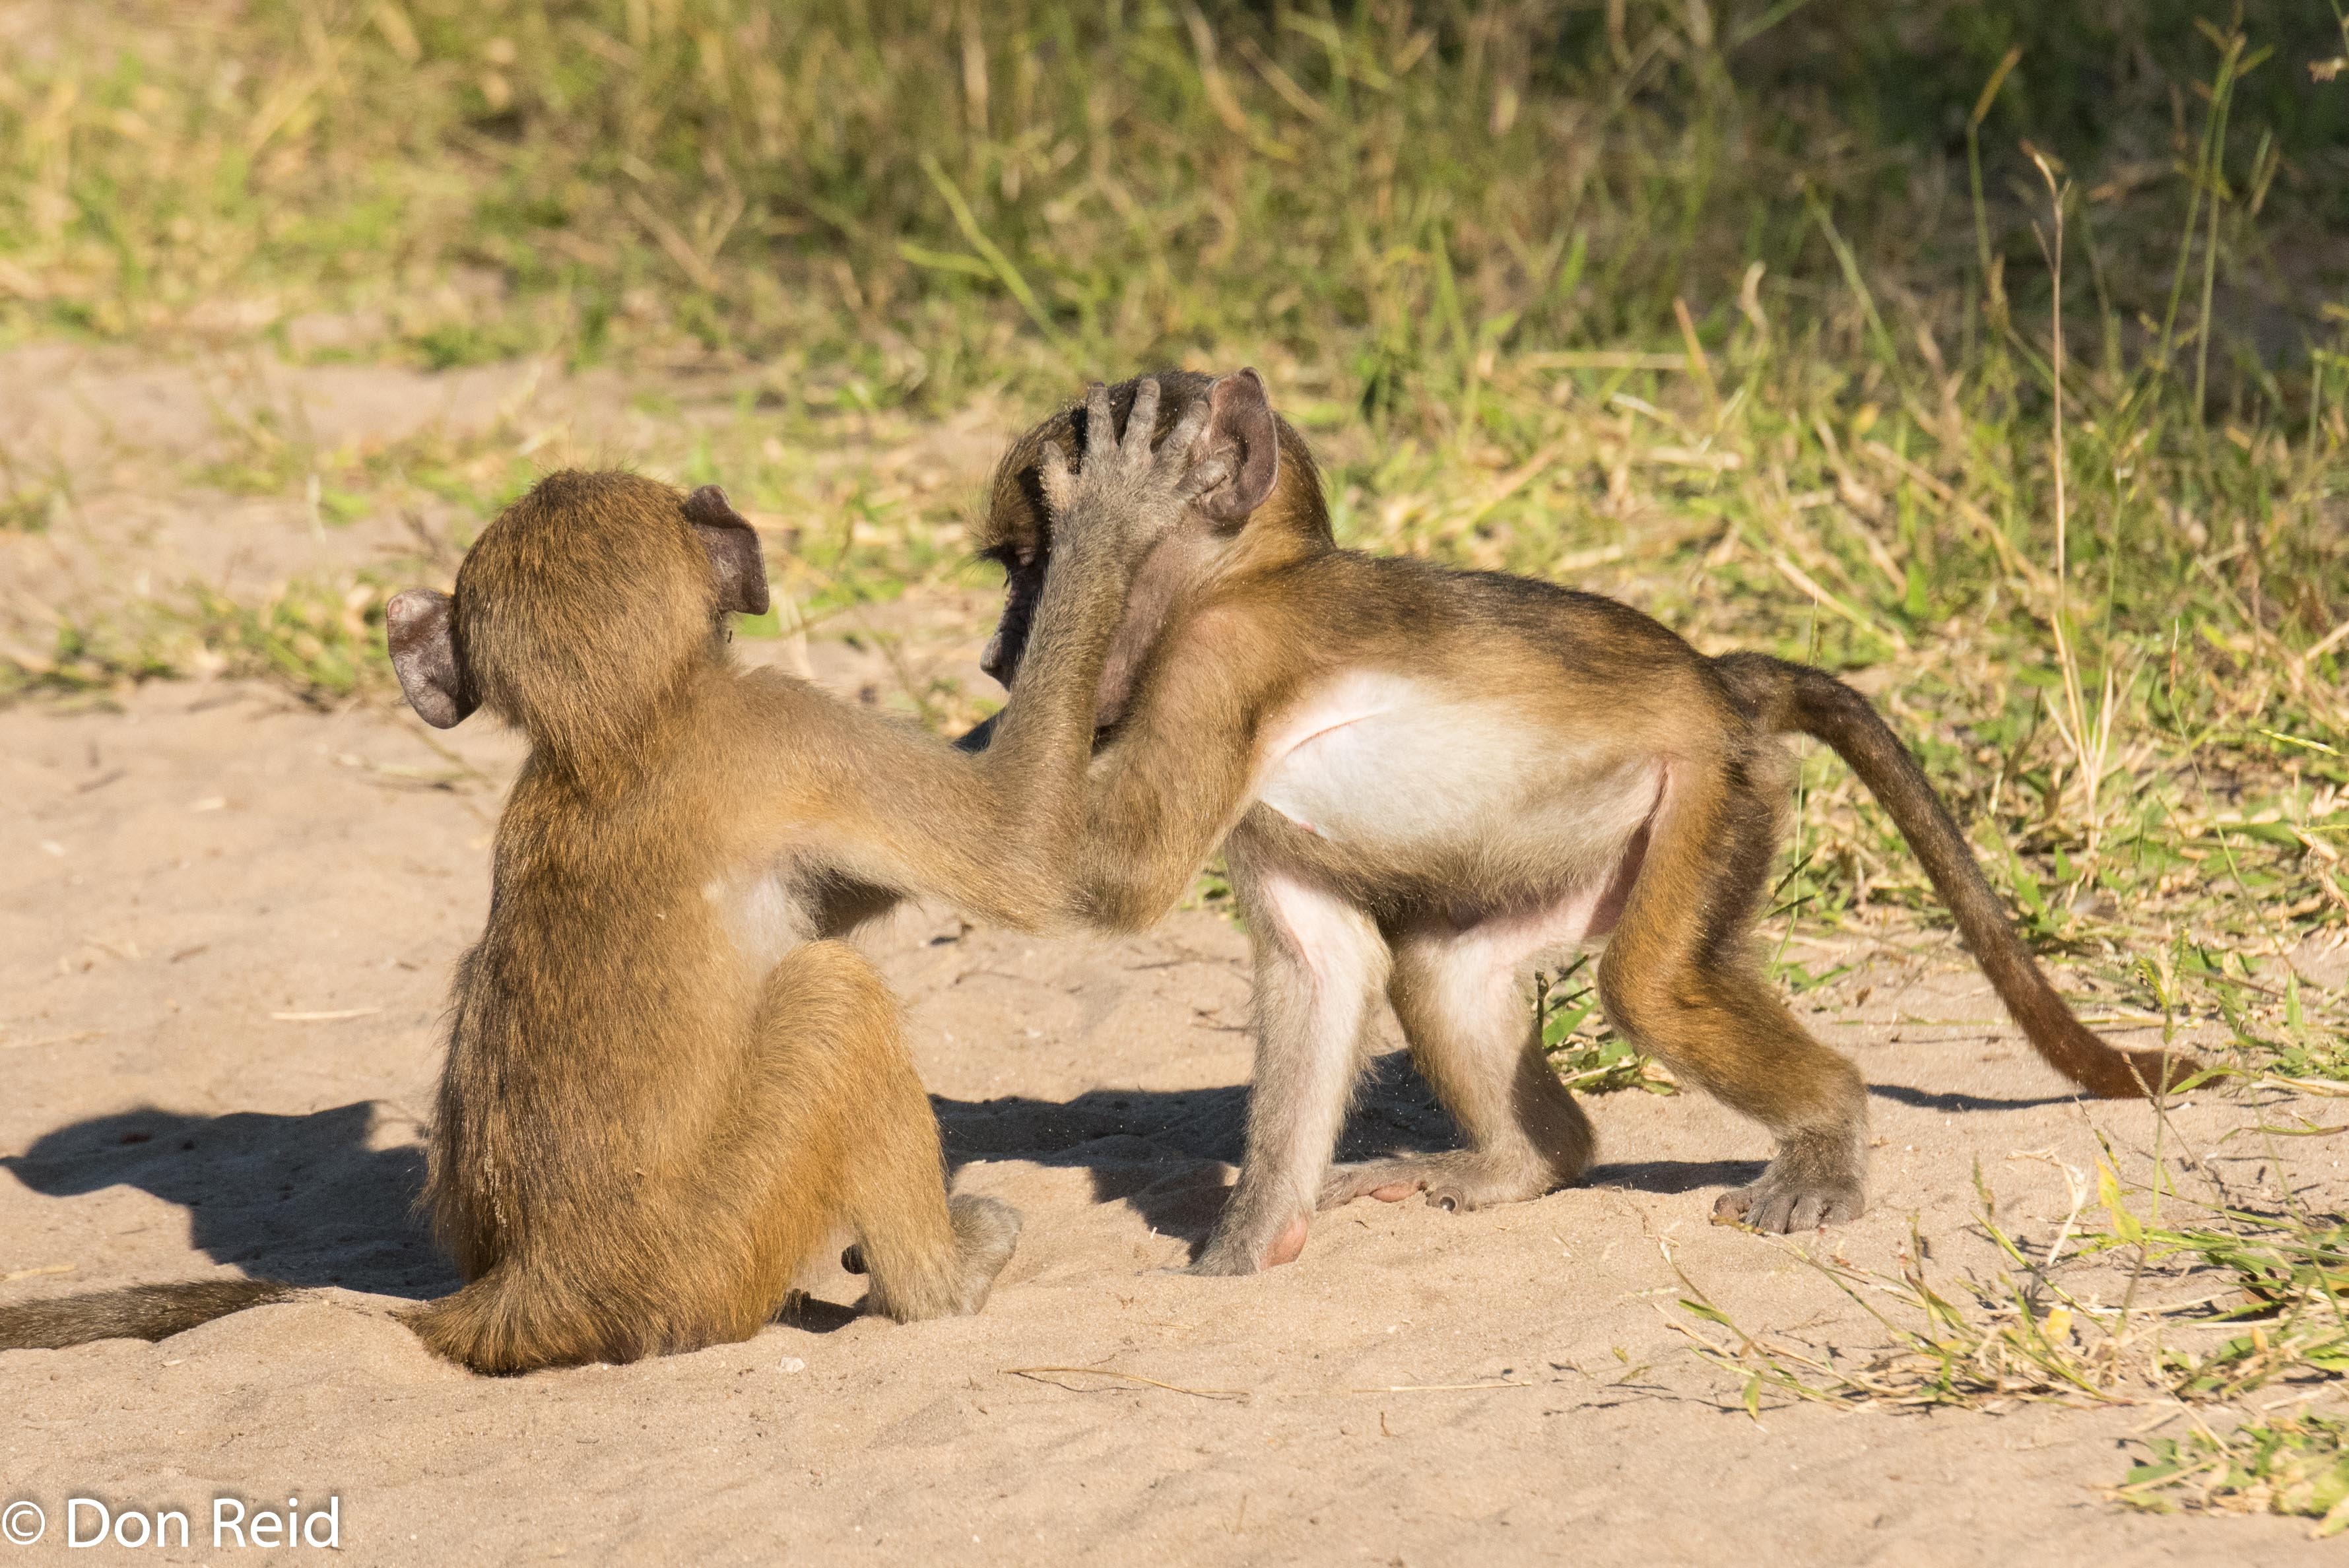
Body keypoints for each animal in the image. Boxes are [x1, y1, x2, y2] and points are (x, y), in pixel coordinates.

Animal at [0, 383, 1217, 1366]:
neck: (613, 733)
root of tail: (528, 1293)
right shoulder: (779, 726)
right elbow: (1017, 854)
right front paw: (1110, 521)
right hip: (716, 1251)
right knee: (831, 999)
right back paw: (942, 1281)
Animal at [969, 368, 2196, 1276]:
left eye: (1030, 561)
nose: (992, 658)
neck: (1241, 577)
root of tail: (1714, 684)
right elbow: (1319, 966)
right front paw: (1245, 1247)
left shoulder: (1214, 665)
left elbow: (1112, 876)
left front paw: (1112, 518)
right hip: (1586, 854)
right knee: (1444, 975)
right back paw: (1529, 1164)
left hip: (1711, 792)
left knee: (1648, 986)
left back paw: (1824, 1139)